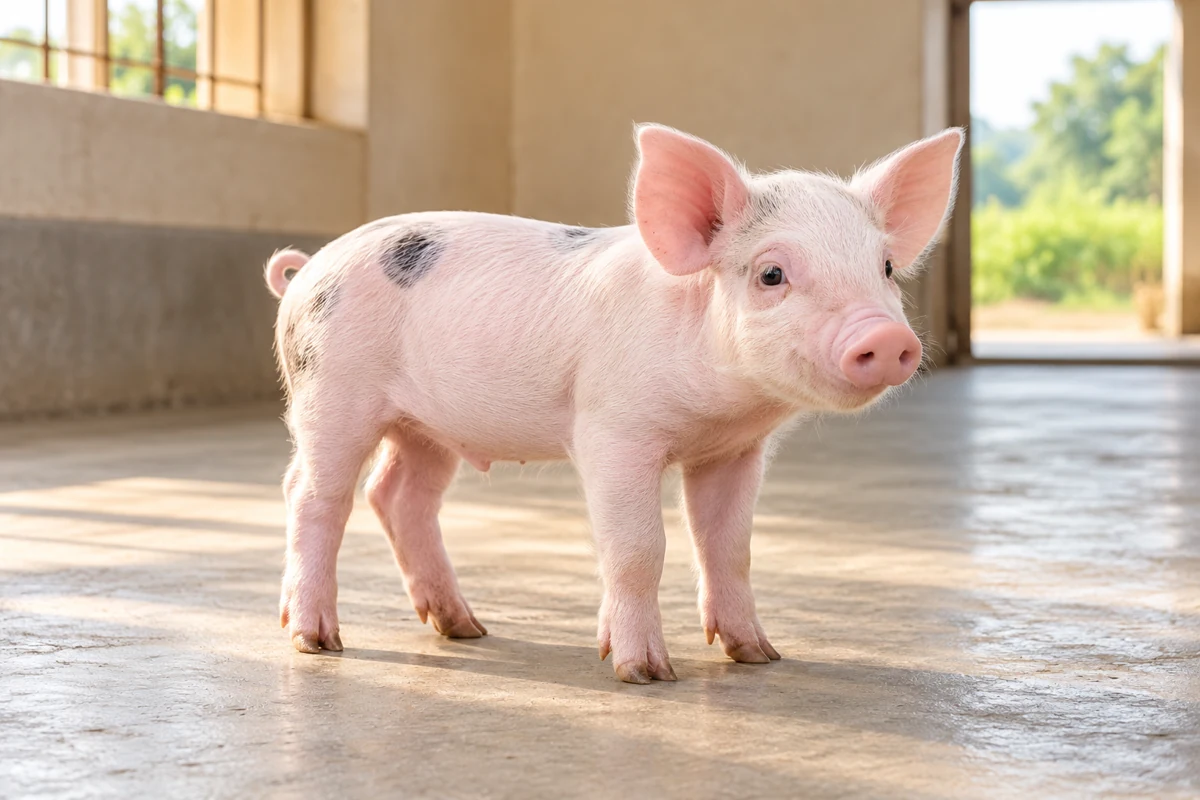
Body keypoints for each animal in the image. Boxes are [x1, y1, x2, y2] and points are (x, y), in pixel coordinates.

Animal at [265, 124, 963, 683]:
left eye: (886, 267)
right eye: (772, 274)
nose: (887, 338)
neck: (721, 407)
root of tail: (306, 271)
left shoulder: (734, 451)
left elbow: (729, 546)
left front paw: (759, 656)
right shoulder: (612, 429)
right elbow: (638, 548)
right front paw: (644, 673)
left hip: (426, 425)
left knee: (399, 494)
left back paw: (465, 628)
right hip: (331, 389)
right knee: (313, 493)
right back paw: (317, 640)